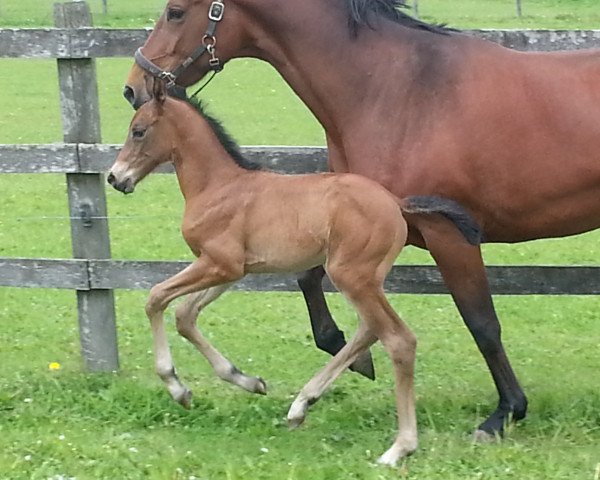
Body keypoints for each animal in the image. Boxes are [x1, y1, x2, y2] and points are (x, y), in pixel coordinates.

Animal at [108, 81, 480, 464]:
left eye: (138, 131)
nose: (115, 178)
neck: (219, 186)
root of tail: (396, 203)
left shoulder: (218, 263)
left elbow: (156, 298)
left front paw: (176, 387)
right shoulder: (231, 271)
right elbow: (185, 315)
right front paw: (248, 382)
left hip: (351, 276)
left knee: (398, 339)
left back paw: (399, 447)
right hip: (365, 279)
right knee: (369, 330)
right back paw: (301, 406)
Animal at [124, 0, 600, 440]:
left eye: (175, 11)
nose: (133, 87)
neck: (399, 89)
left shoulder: (446, 235)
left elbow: (482, 322)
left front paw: (505, 413)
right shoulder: (355, 227)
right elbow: (311, 283)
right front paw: (352, 360)